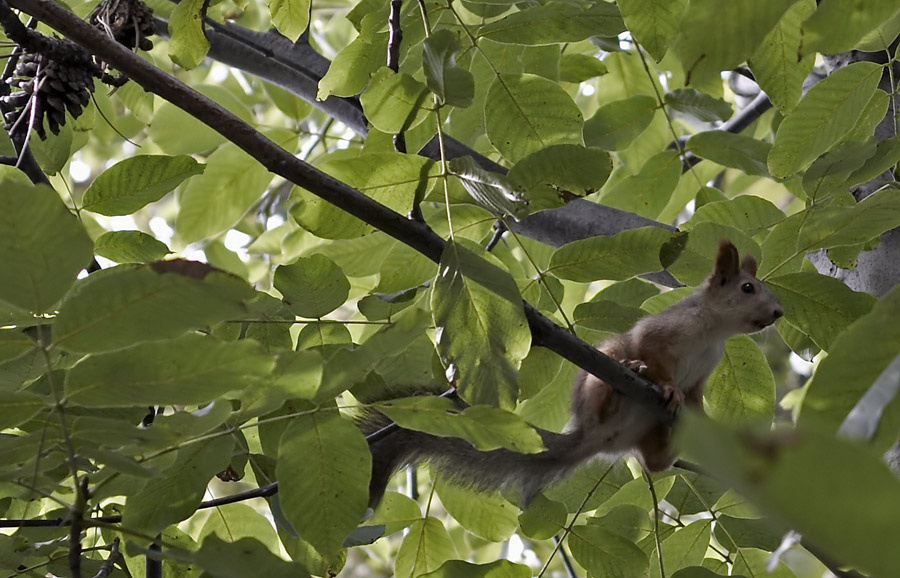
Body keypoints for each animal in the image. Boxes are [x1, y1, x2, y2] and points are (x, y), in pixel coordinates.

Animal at [365, 240, 784, 508]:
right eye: (748, 288)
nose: (779, 312)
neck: (714, 332)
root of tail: (591, 436)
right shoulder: (661, 334)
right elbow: (655, 357)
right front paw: (667, 387)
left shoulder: (703, 374)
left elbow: (695, 398)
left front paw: (705, 421)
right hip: (602, 372)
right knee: (609, 392)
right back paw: (619, 388)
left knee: (656, 463)